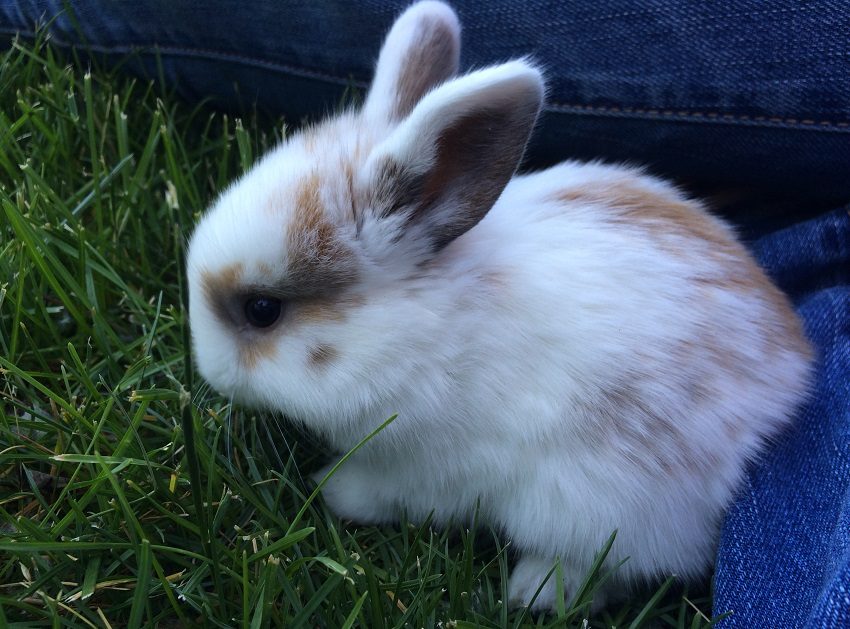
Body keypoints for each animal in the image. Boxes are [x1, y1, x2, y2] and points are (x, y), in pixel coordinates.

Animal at [186, 0, 808, 608]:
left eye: (262, 310)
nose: (210, 373)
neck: (423, 328)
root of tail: (789, 388)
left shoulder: (431, 469)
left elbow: (390, 492)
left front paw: (332, 489)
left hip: (598, 509)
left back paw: (531, 589)